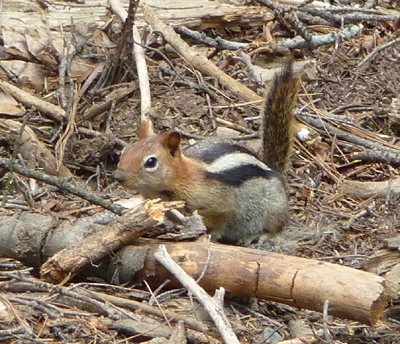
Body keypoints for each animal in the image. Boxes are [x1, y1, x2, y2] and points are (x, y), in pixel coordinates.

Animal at [114, 61, 298, 245]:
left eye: (151, 162)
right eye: (125, 151)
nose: (118, 176)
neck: (182, 176)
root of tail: (274, 171)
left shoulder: (219, 206)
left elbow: (221, 221)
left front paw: (211, 236)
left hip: (274, 208)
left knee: (278, 227)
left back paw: (259, 236)